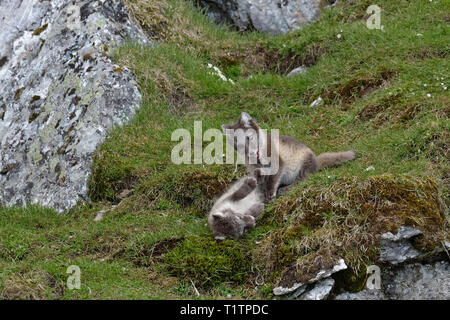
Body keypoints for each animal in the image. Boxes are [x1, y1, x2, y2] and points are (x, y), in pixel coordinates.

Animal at [221, 112, 356, 202]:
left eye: (249, 138)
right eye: (238, 146)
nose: (251, 153)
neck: (259, 161)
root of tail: (316, 161)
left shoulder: (278, 163)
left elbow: (272, 180)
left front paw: (269, 195)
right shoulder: (255, 170)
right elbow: (260, 182)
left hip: (302, 164)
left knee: (302, 180)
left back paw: (284, 189)